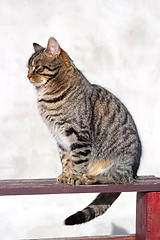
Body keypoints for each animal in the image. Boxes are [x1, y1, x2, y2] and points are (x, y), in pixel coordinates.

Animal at [27, 36, 141, 225]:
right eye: (28, 67)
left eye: (38, 67)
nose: (28, 75)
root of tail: (135, 172)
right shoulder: (60, 138)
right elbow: (65, 159)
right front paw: (65, 175)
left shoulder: (78, 135)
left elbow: (77, 160)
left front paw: (74, 176)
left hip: (120, 163)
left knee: (117, 179)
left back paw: (91, 178)